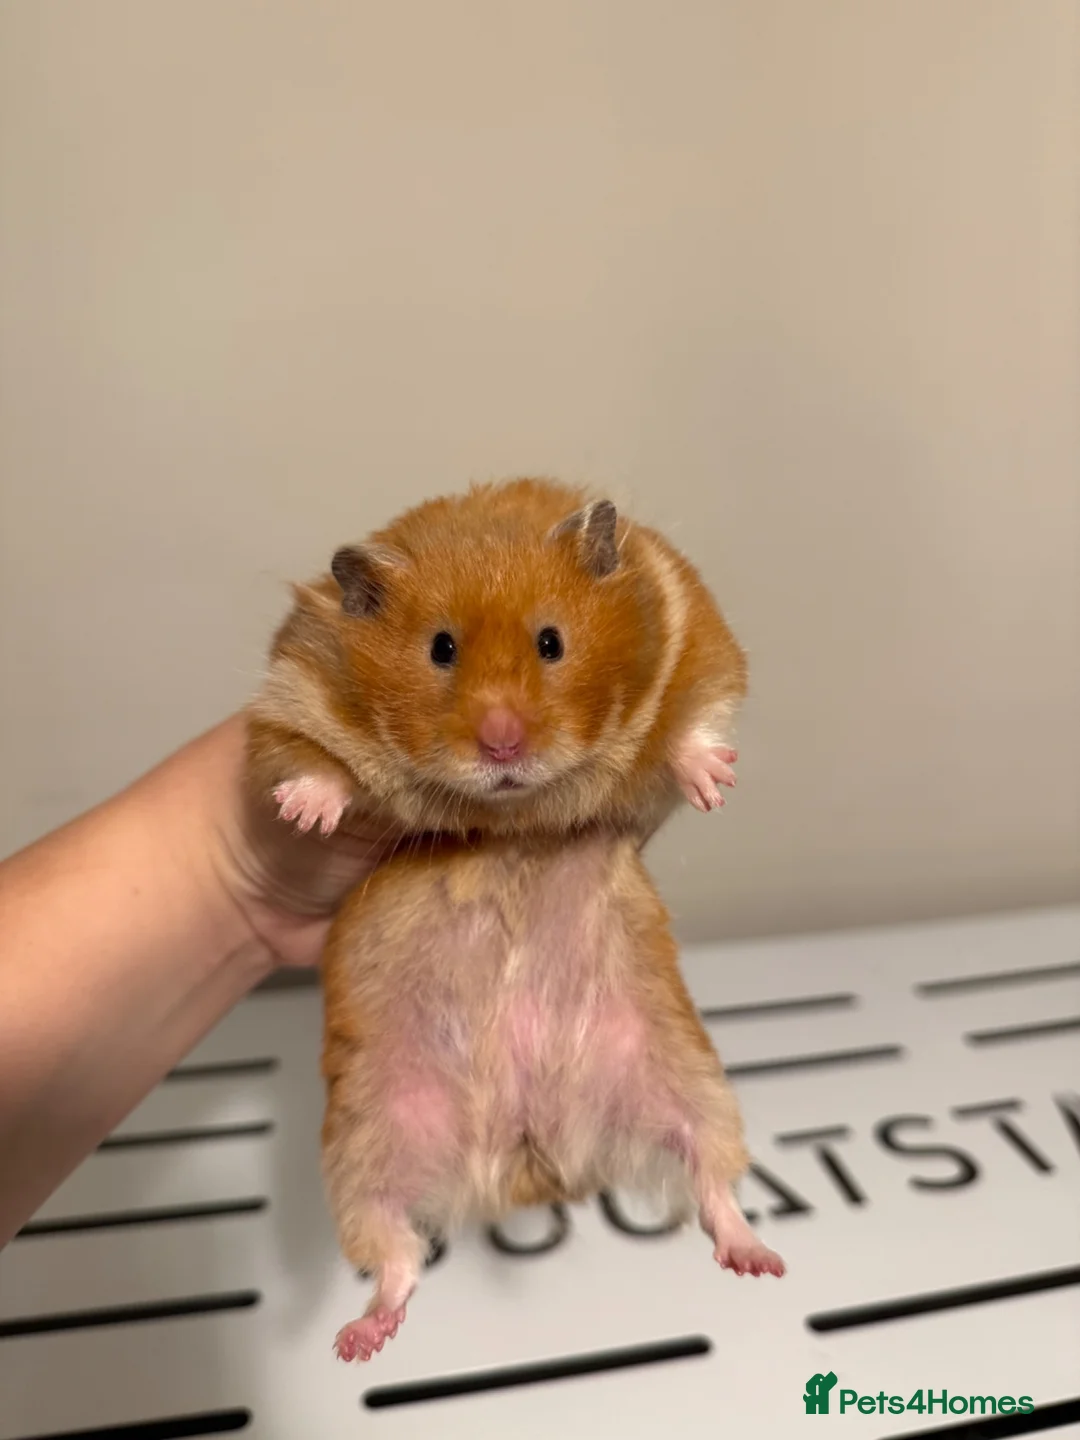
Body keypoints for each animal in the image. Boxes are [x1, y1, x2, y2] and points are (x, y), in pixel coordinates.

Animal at [244, 477, 784, 1364]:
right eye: (441, 649)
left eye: (552, 641)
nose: (502, 745)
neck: (512, 817)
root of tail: (531, 1163)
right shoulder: (290, 698)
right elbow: (311, 762)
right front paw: (306, 814)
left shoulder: (699, 641)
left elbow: (693, 722)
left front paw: (714, 783)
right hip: (364, 1144)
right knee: (394, 1252)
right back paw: (361, 1339)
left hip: (689, 1080)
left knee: (713, 1180)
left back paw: (758, 1260)